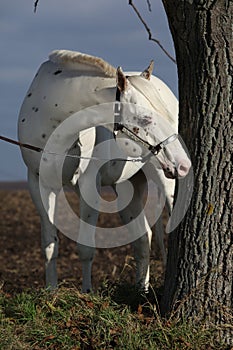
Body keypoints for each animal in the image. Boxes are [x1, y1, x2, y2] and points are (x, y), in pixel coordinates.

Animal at [17, 50, 189, 292]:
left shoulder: (89, 185)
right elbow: (50, 246)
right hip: (127, 186)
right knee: (143, 237)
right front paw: (51, 292)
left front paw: (87, 292)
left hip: (164, 181)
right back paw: (141, 289)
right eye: (145, 118)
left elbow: (86, 248)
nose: (184, 164)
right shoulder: (39, 184)